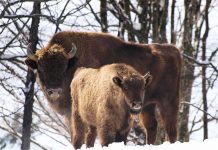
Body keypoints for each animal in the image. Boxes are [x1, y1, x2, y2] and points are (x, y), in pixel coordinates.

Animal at [25, 30, 182, 144]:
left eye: (64, 66)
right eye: (41, 68)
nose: (54, 91)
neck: (73, 62)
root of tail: (174, 50)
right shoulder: (71, 115)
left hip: (169, 102)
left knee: (171, 128)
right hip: (146, 105)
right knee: (152, 126)